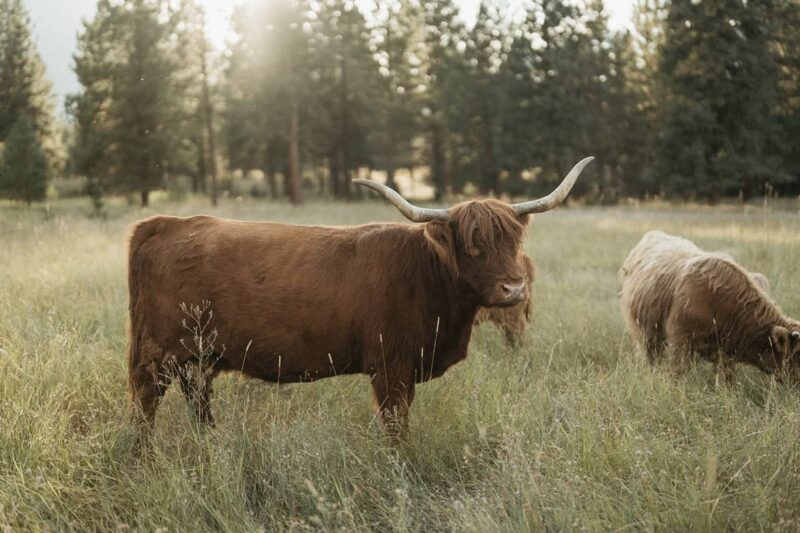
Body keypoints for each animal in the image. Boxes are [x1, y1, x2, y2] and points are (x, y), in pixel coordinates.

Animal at [620, 229, 800, 382]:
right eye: (798, 356)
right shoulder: (680, 341)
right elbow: (677, 373)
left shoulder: (725, 354)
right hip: (645, 333)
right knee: (650, 356)